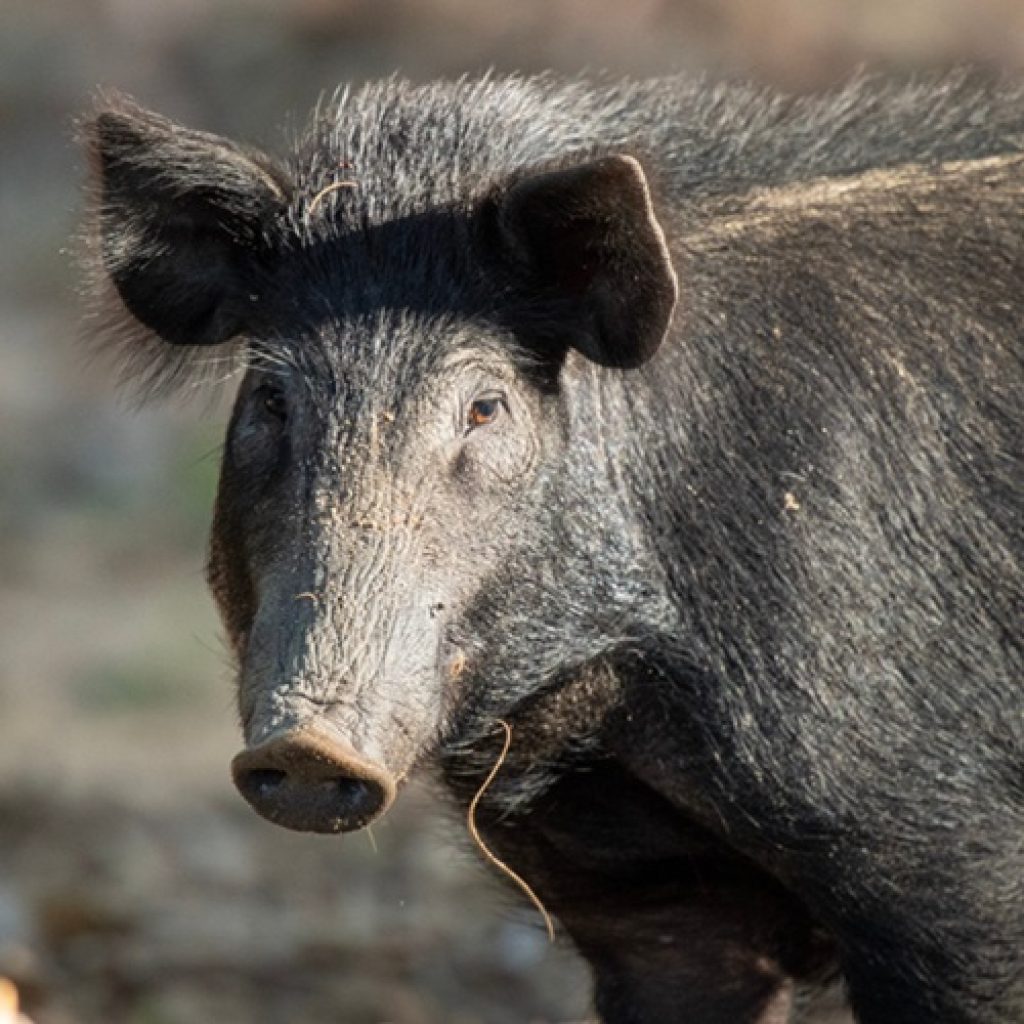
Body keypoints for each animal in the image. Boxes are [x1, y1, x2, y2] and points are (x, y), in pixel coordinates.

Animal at [82, 70, 1023, 1024]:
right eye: (272, 398)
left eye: (485, 406)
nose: (308, 747)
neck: (616, 713)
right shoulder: (654, 908)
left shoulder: (954, 871)